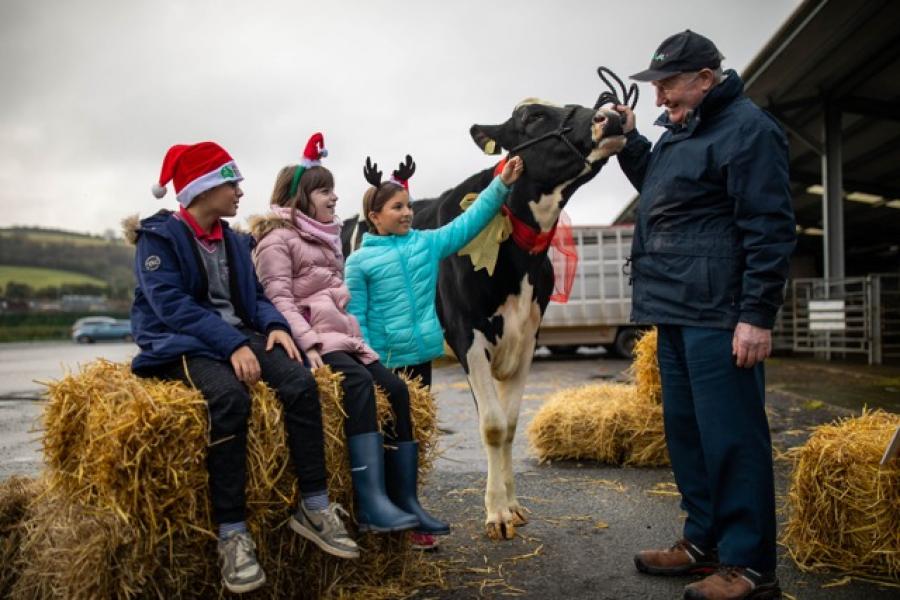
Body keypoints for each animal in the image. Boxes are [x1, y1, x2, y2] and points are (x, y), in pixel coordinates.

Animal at [344, 98, 624, 540]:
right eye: (532, 117)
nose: (611, 114)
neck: (520, 255)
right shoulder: (468, 336)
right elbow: (491, 425)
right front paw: (496, 514)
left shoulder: (527, 338)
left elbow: (509, 425)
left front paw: (512, 505)